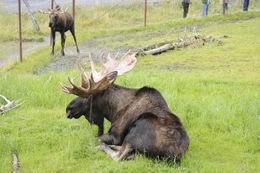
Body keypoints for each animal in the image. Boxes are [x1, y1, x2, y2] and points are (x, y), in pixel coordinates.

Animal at [62, 52, 190, 162]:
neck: (112, 111)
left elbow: (100, 138)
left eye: (87, 97)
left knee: (118, 156)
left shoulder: (116, 135)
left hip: (137, 129)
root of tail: (175, 156)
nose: (68, 109)